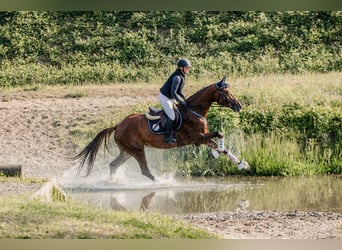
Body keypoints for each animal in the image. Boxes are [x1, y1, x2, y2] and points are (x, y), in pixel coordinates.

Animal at [72, 76, 243, 180]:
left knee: (113, 165)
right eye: (226, 91)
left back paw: (113, 182)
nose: (238, 106)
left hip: (127, 151)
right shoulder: (196, 138)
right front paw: (217, 152)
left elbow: (221, 144)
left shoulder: (202, 138)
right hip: (137, 149)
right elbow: (219, 134)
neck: (195, 111)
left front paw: (240, 163)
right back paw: (162, 182)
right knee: (144, 170)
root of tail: (118, 125)